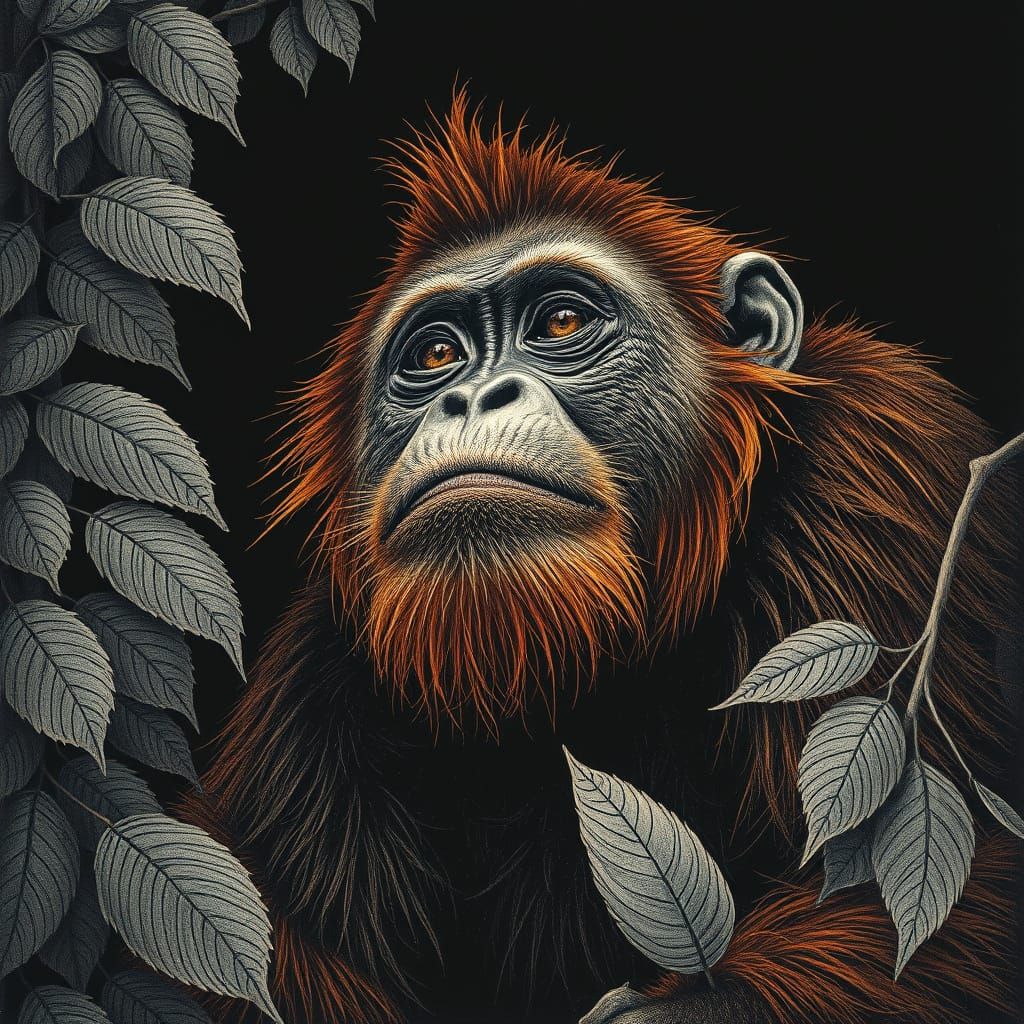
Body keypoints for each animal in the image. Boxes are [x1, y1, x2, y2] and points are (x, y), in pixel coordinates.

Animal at [181, 95, 1021, 1024]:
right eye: (434, 354)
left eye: (561, 322)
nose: (471, 394)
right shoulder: (322, 663)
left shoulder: (882, 477)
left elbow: (944, 873)